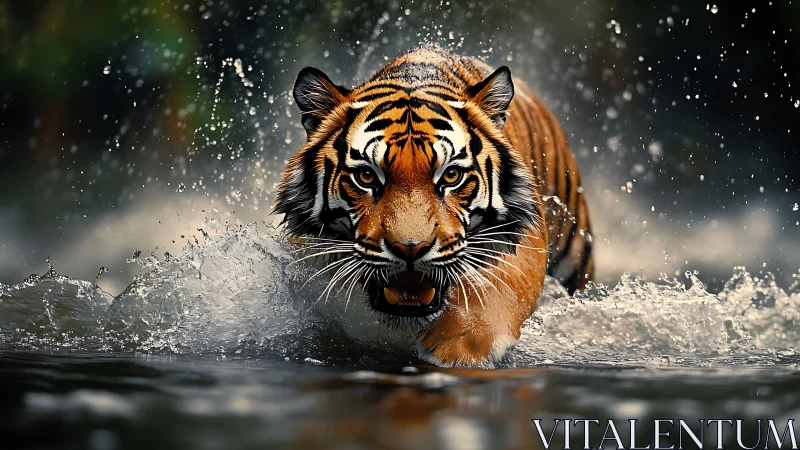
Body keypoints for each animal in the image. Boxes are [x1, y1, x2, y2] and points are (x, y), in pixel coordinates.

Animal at [274, 46, 593, 368]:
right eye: (366, 176)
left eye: (451, 175)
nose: (410, 249)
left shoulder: (523, 235)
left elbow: (499, 282)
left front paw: (459, 345)